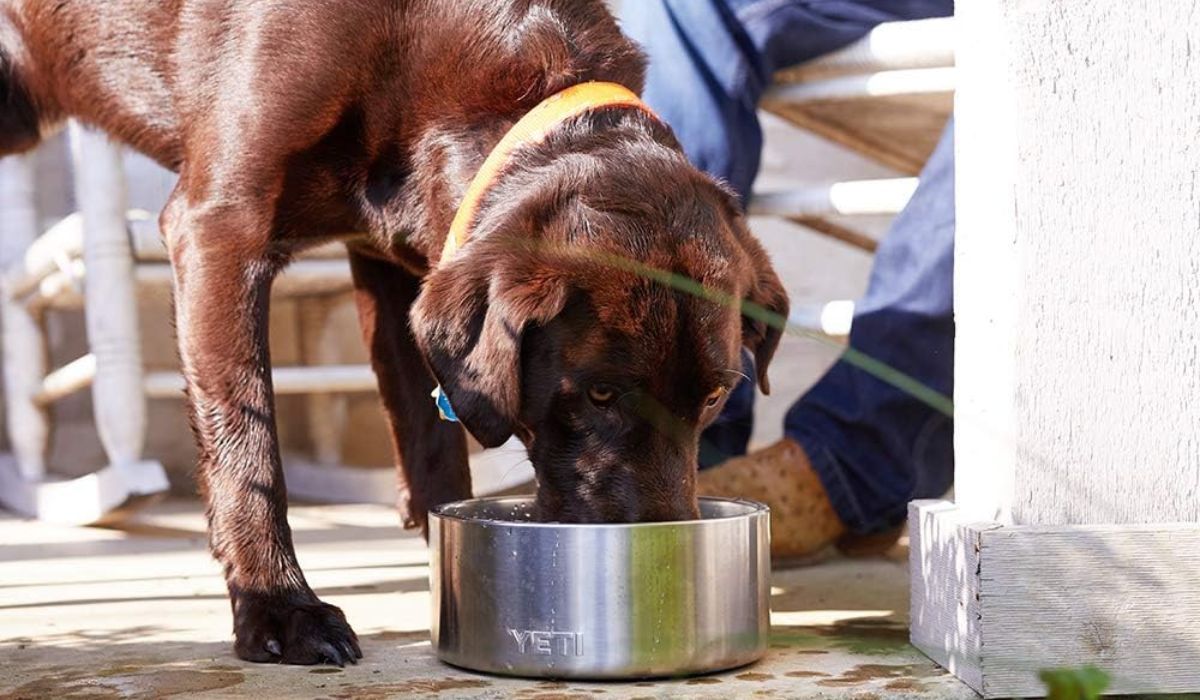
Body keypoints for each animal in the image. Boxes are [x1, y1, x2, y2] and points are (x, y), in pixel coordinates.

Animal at [2, 0, 787, 667]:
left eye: (713, 398)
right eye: (598, 395)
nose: (663, 554)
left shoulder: (393, 264)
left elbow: (433, 446)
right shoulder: (217, 229)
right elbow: (246, 445)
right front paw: (279, 607)